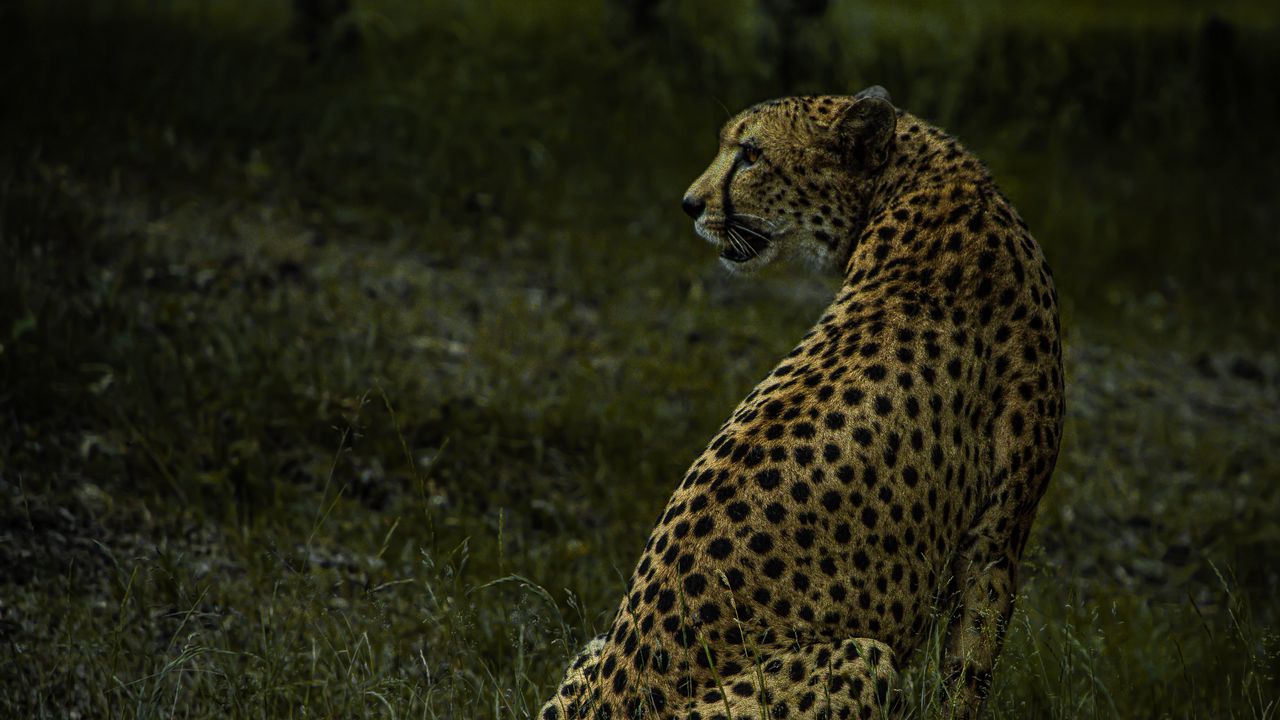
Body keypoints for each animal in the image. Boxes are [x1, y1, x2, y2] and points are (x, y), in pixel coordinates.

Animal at [540, 86, 1064, 720]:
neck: (912, 182)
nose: (689, 204)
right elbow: (967, 679)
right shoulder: (995, 541)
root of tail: (613, 697)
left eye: (751, 154)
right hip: (865, 656)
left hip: (591, 652)